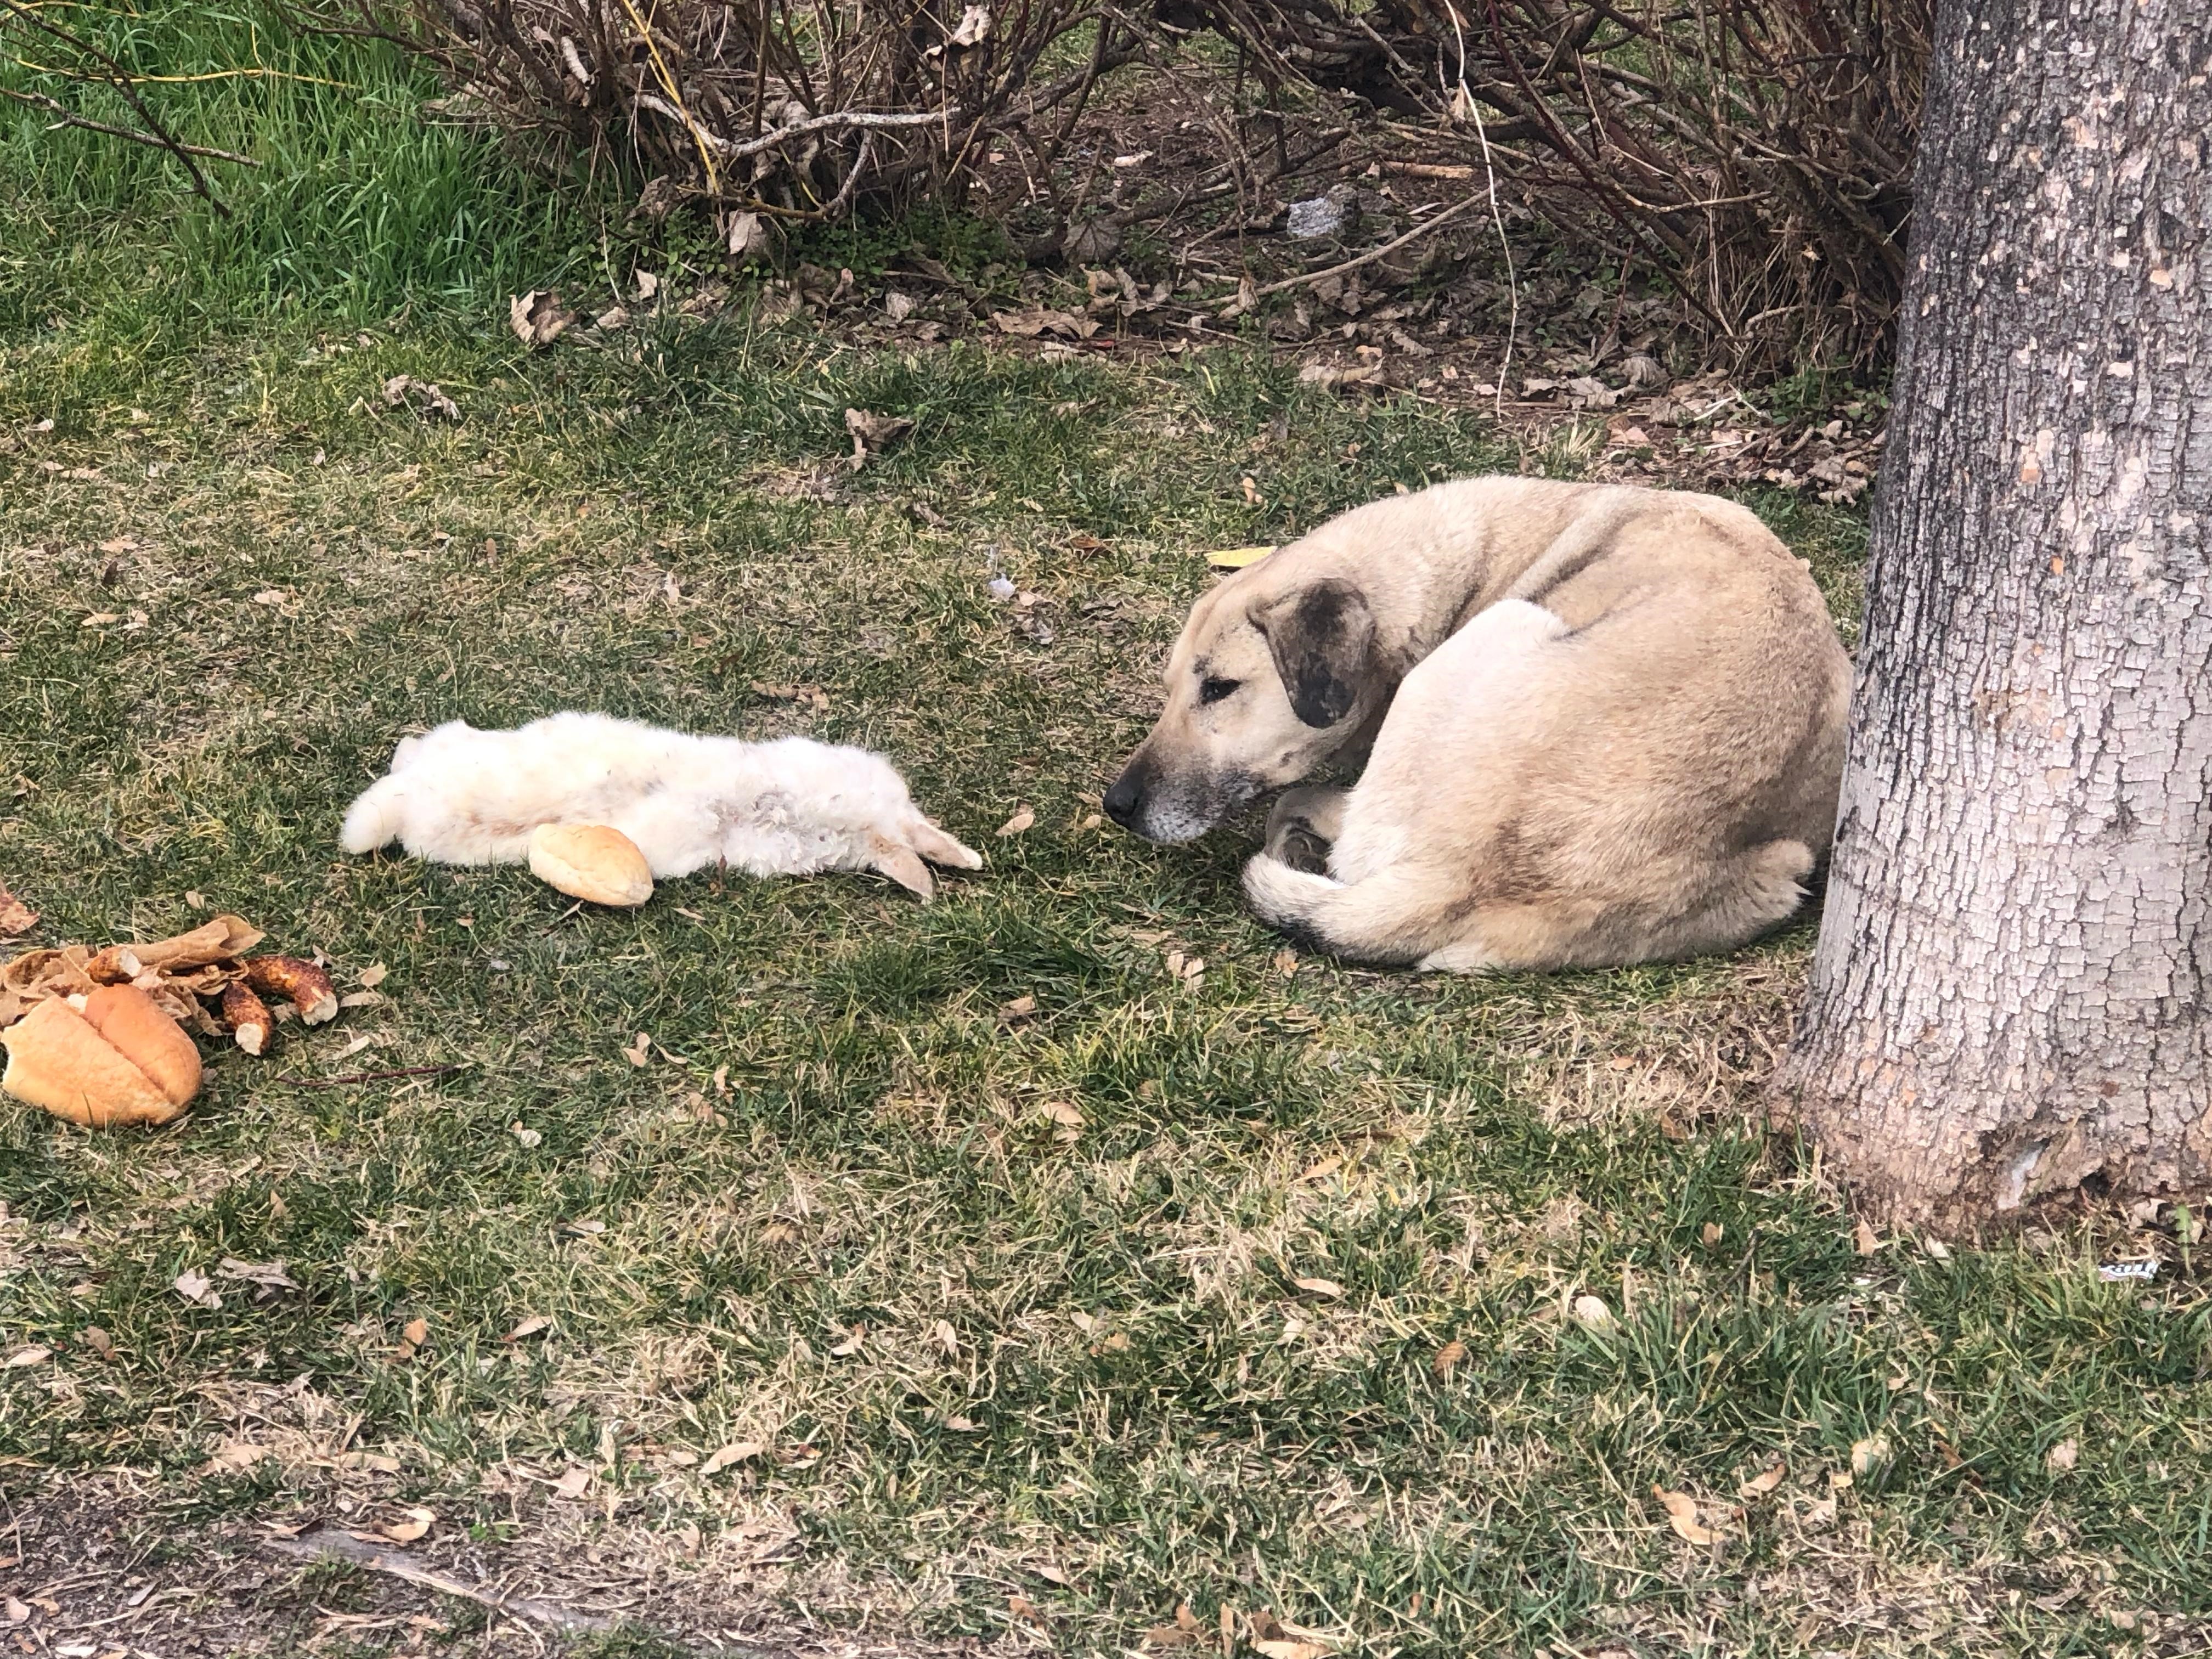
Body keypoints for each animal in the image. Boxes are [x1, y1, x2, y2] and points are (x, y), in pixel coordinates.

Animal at [1106, 477, 1849, 973]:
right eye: (1172, 690)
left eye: (1220, 689)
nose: (1117, 806)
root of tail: (1460, 883)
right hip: (1780, 873)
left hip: (1507, 625)